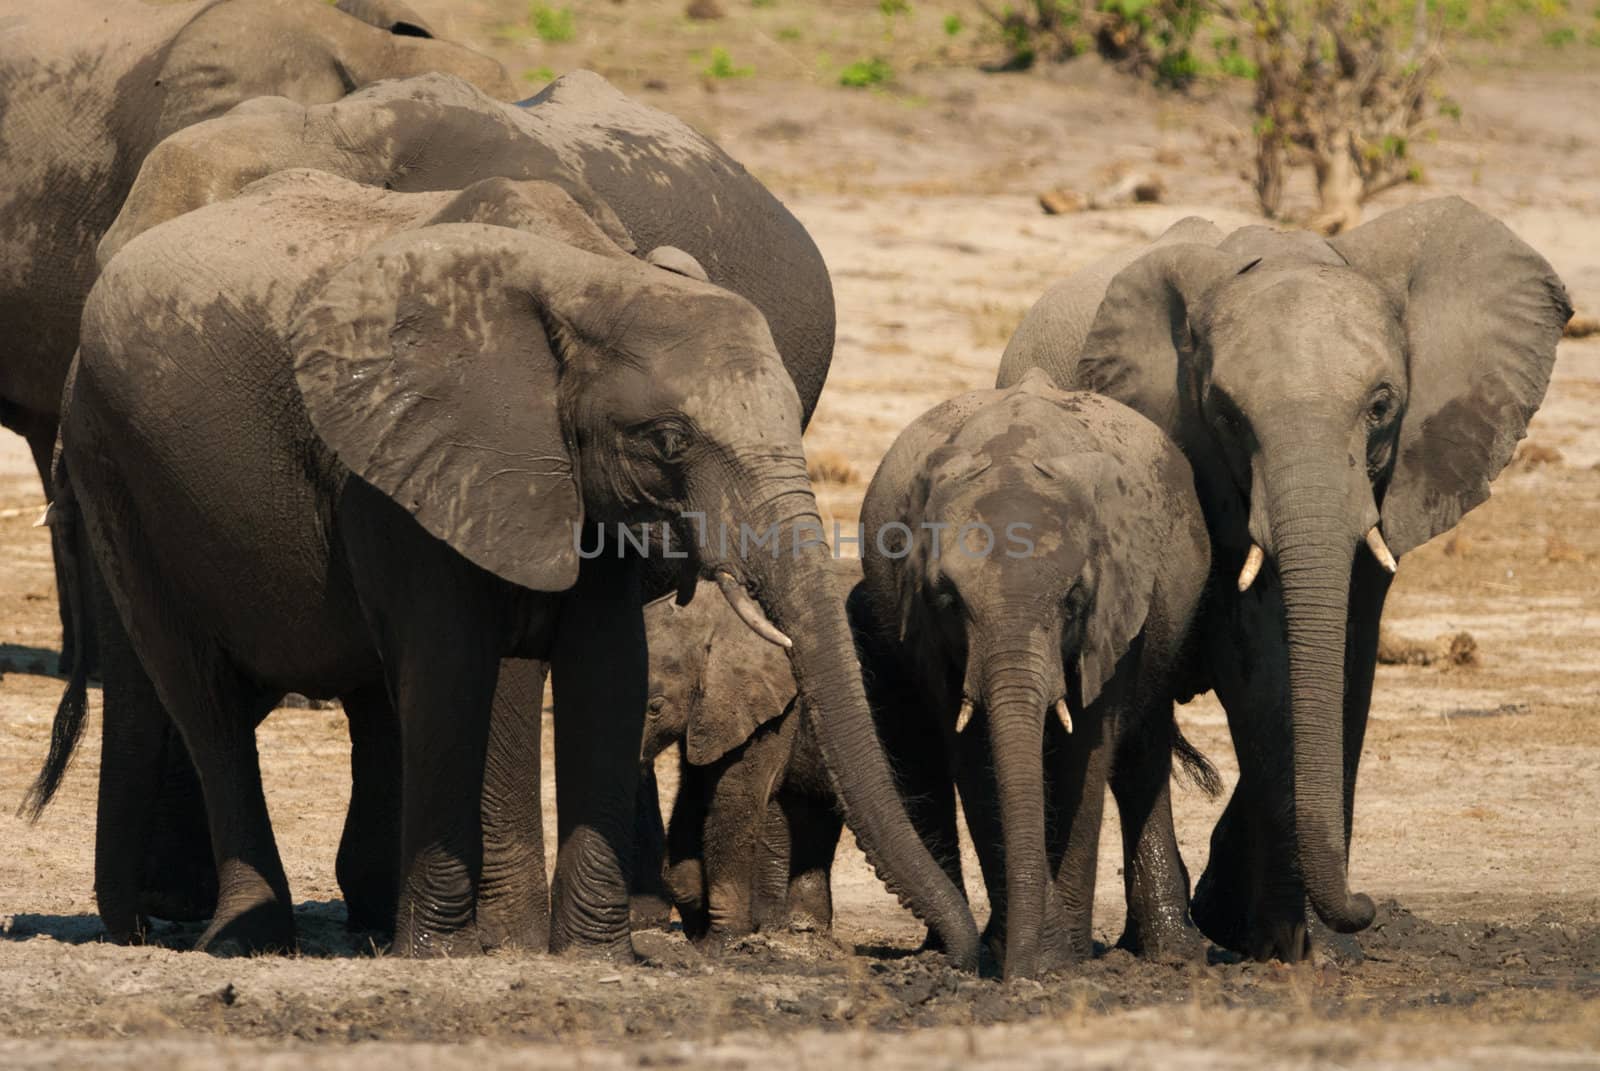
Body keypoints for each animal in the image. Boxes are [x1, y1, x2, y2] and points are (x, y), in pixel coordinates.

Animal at [630, 560, 870, 941]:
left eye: (655, 707)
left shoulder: (775, 707)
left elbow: (734, 798)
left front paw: (727, 937)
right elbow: (695, 793)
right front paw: (700, 923)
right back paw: (799, 927)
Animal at [857, 371, 1216, 979]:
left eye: (1073, 599)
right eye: (948, 600)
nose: (1018, 972)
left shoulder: (1116, 612)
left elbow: (1085, 753)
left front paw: (1058, 960)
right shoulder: (928, 634)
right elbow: (974, 754)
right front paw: (1024, 954)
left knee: (1140, 757)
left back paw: (1173, 954)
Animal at [998, 200, 1574, 960]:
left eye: (1382, 405)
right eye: (1226, 414)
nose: (1367, 906)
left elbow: (1345, 667)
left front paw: (1286, 935)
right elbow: (1259, 669)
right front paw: (1285, 945)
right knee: (1140, 730)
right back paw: (1170, 942)